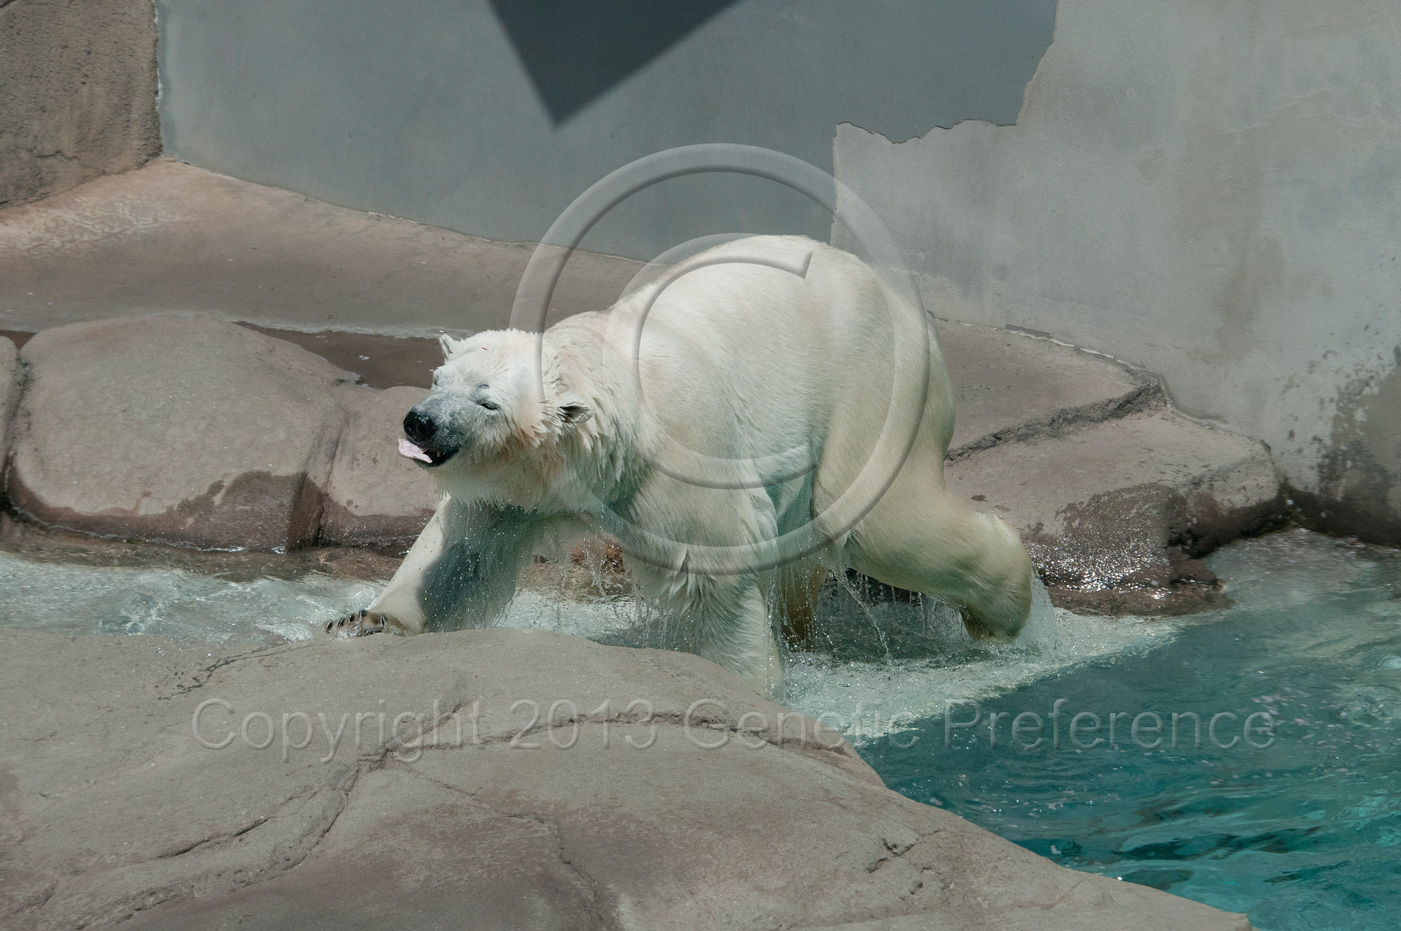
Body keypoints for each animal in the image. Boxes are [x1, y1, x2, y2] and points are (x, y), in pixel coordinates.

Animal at [327, 236, 1031, 694]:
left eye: (486, 400)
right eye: (438, 377)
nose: (419, 422)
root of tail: (908, 307)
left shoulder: (675, 461)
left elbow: (711, 570)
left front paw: (741, 688)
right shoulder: (524, 485)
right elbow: (464, 552)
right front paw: (365, 620)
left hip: (874, 385)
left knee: (875, 519)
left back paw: (1007, 611)